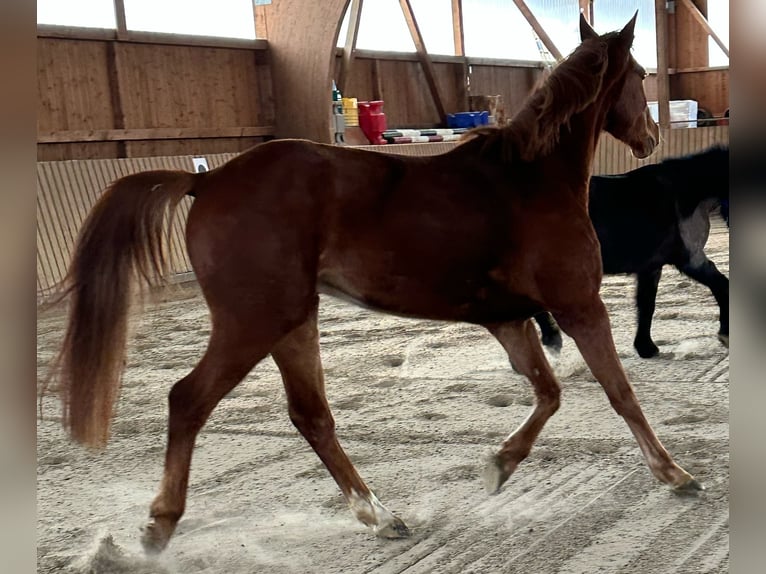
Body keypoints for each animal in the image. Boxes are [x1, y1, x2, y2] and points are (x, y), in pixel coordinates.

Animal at [47, 13, 701, 555]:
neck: (528, 179)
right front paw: (676, 474)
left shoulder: (509, 319)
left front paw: (499, 466)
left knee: (310, 416)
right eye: (641, 74)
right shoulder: (579, 305)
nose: (651, 136)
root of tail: (206, 181)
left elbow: (549, 393)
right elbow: (619, 392)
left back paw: (380, 515)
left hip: (293, 322)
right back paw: (158, 528)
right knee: (188, 400)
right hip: (254, 322)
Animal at [533, 145, 729, 358]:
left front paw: (645, 347)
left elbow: (646, 304)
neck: (684, 193)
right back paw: (552, 340)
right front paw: (725, 335)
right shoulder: (689, 259)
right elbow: (722, 285)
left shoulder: (651, 267)